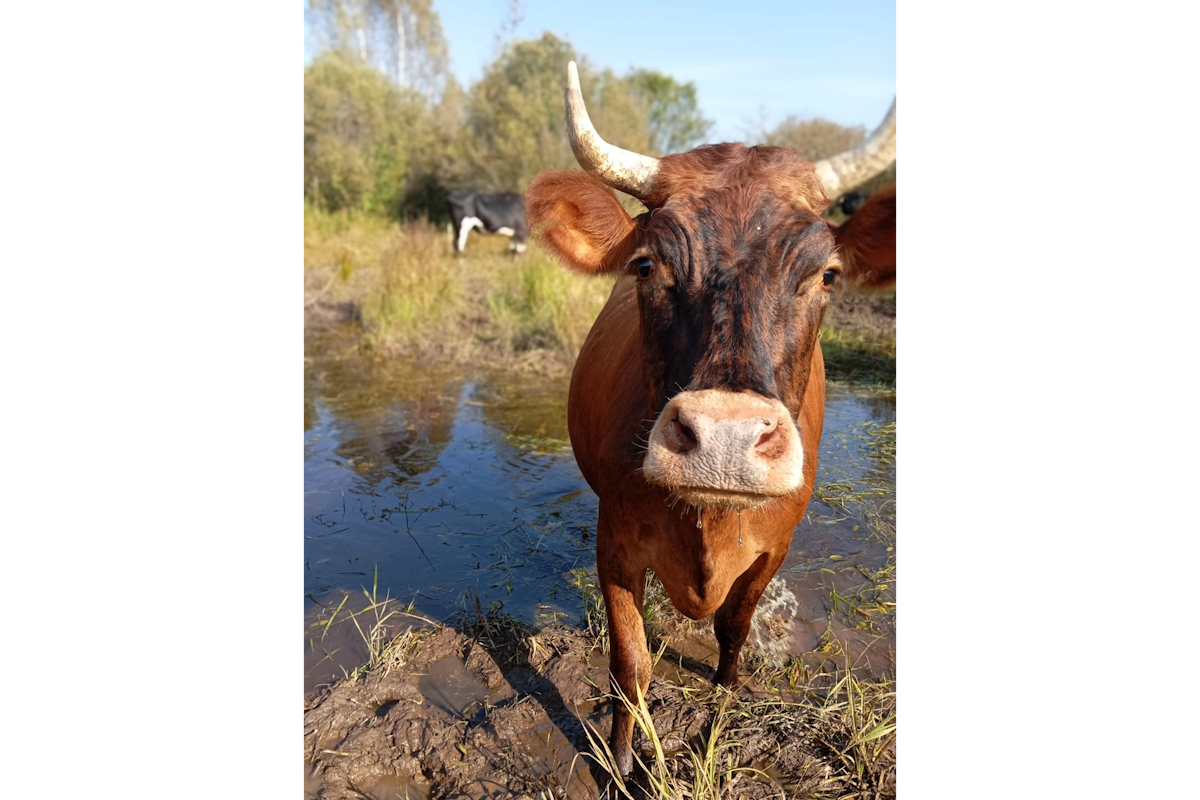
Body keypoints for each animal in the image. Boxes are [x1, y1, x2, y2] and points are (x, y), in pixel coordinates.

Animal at [526, 62, 897, 783]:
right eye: (647, 264)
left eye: (827, 274)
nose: (724, 438)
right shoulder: (614, 543)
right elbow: (630, 662)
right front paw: (620, 761)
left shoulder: (772, 550)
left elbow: (733, 632)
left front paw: (720, 713)